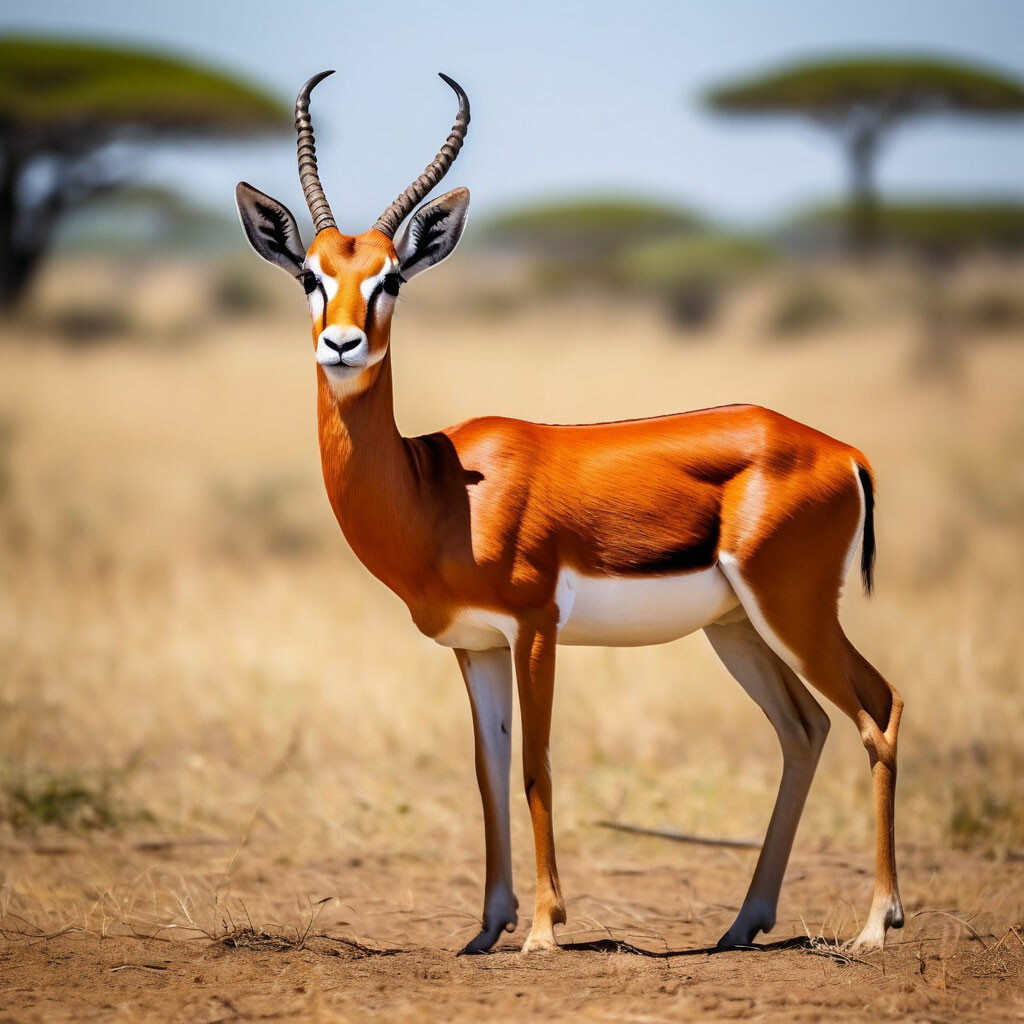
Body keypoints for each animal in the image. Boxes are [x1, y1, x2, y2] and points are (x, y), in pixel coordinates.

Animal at [235, 71, 904, 956]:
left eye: (392, 278)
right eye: (311, 275)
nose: (341, 344)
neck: (441, 489)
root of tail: (841, 450)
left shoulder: (536, 629)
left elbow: (537, 764)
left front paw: (545, 929)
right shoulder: (475, 645)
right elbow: (487, 771)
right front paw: (486, 929)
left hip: (793, 610)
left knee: (877, 712)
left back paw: (876, 925)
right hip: (738, 628)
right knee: (805, 729)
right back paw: (742, 924)